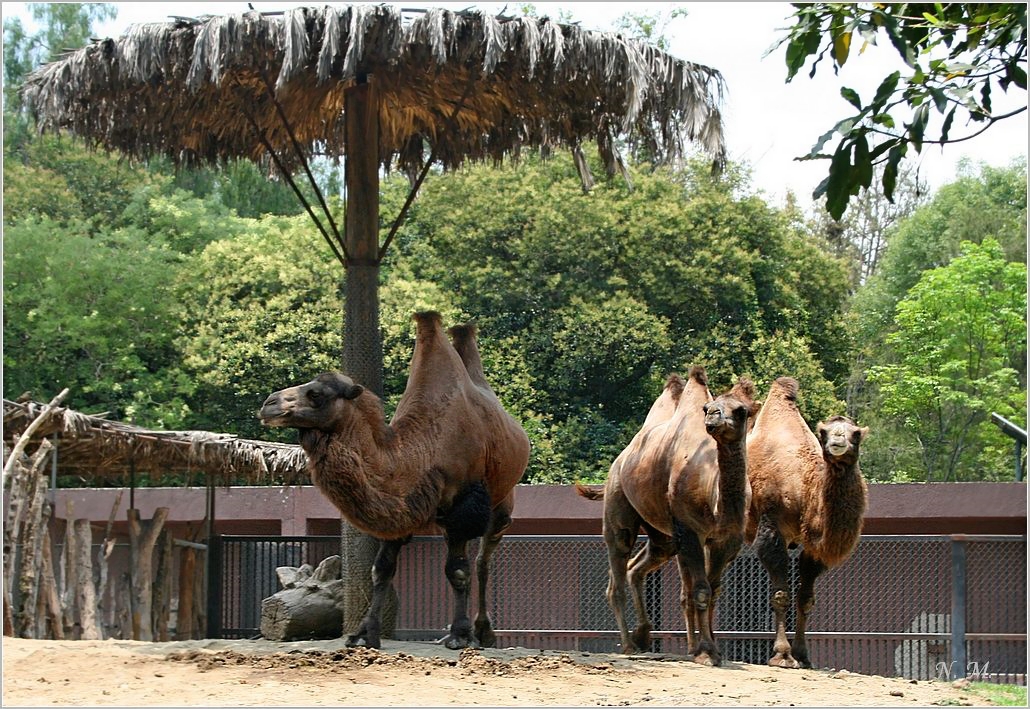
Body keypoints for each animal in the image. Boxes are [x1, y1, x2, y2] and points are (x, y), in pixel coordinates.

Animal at [257, 309, 531, 647]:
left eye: (316, 394)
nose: (268, 403)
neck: (424, 451)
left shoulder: (463, 505)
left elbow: (457, 571)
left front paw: (459, 635)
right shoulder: (401, 507)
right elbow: (382, 570)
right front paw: (363, 634)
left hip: (501, 501)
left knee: (482, 561)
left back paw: (483, 633)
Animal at [580, 368, 758, 667]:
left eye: (741, 410)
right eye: (708, 407)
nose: (713, 416)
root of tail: (620, 460)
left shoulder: (727, 540)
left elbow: (712, 591)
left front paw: (710, 649)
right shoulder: (690, 530)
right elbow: (701, 591)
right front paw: (706, 652)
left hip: (663, 536)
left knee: (637, 566)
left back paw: (643, 635)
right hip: (619, 505)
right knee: (618, 562)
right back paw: (628, 644)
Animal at [745, 379, 873, 667]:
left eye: (855, 433)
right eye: (824, 432)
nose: (838, 441)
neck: (803, 487)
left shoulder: (813, 546)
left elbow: (805, 599)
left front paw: (803, 655)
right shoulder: (771, 526)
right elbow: (781, 596)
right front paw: (782, 654)